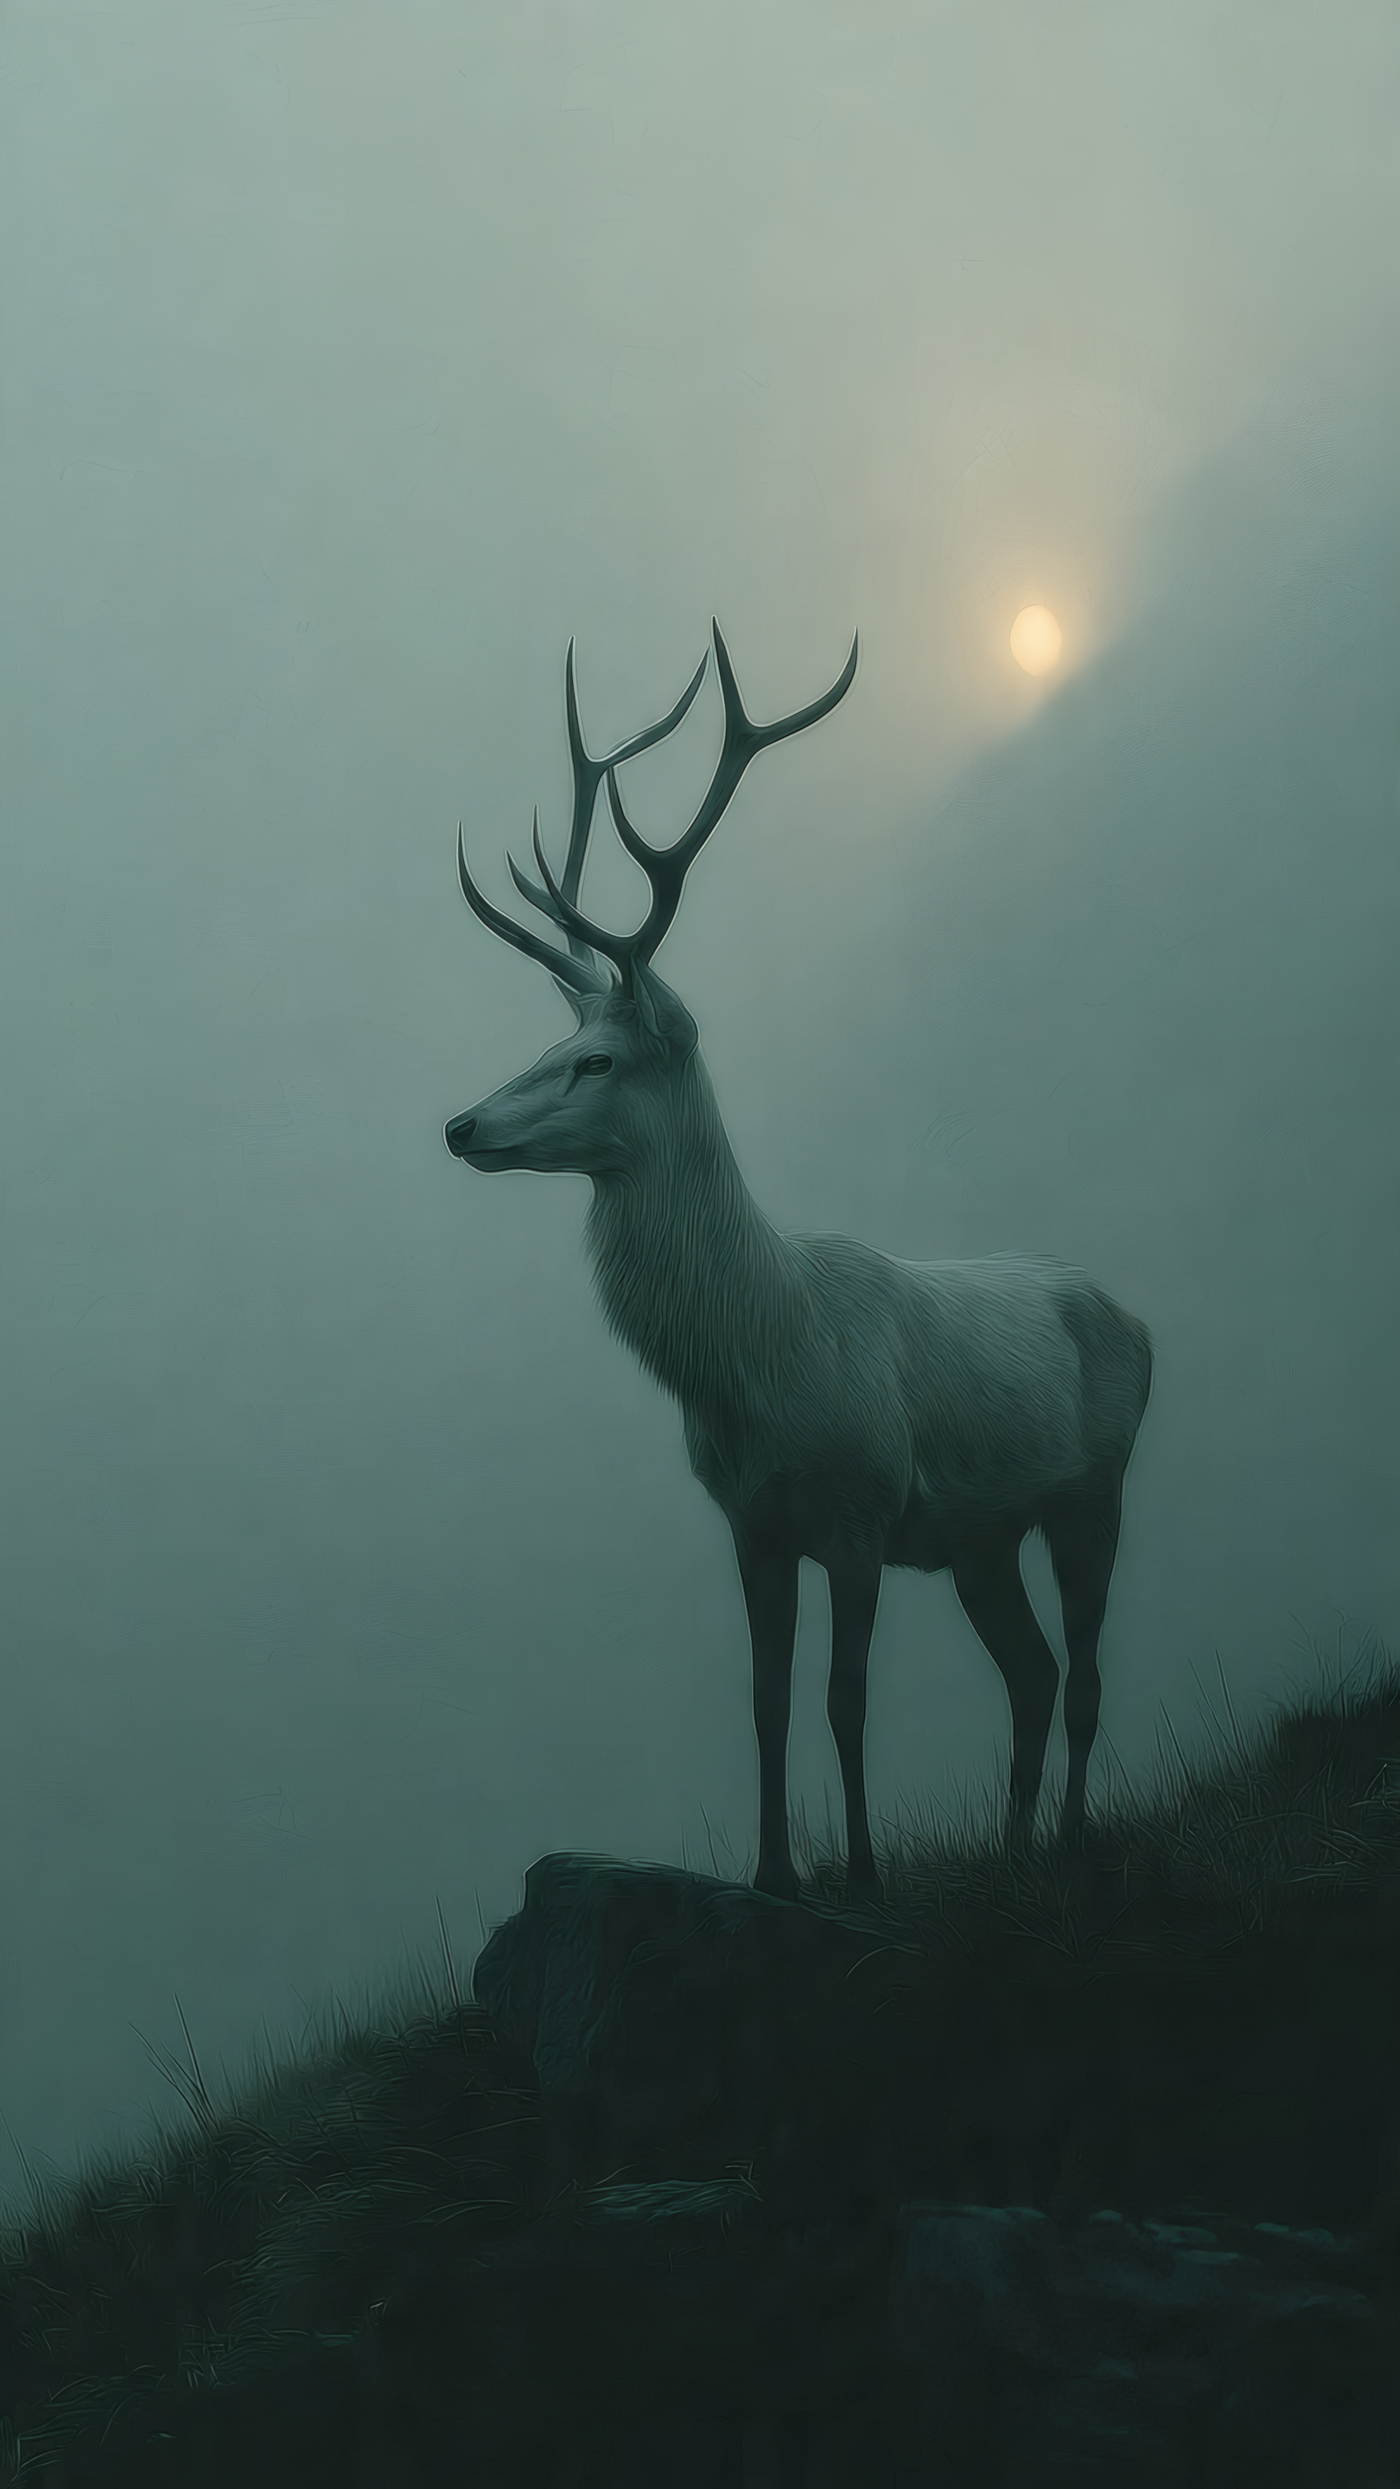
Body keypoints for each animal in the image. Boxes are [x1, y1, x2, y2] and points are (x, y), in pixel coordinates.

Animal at [444, 625, 1152, 1902]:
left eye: (598, 1059)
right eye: (549, 1042)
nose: (460, 1125)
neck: (759, 1363)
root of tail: (1137, 1319)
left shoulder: (862, 1510)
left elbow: (841, 1696)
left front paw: (862, 1872)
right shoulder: (751, 1519)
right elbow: (765, 1701)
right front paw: (776, 1870)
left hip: (1093, 1485)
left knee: (1079, 1670)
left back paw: (1071, 1836)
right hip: (981, 1532)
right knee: (1028, 1670)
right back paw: (1013, 1844)